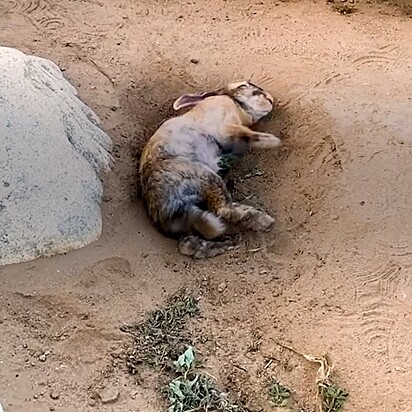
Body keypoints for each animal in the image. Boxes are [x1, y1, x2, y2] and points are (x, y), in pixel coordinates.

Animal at [140, 80, 282, 258]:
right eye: (244, 85)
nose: (269, 98)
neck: (236, 103)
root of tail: (161, 211)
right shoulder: (228, 127)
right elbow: (249, 135)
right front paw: (274, 140)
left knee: (189, 244)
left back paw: (227, 244)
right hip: (203, 175)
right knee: (222, 210)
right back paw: (262, 219)